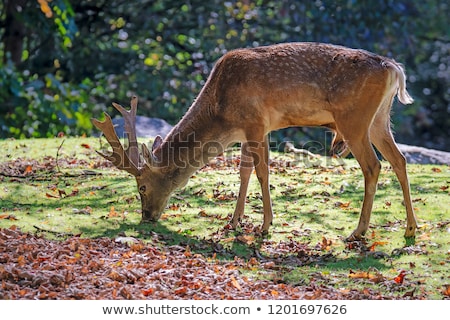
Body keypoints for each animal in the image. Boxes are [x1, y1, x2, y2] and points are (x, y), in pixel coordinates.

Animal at [90, 43, 418, 242]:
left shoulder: (256, 123)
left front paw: (265, 225)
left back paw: (358, 231)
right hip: (379, 119)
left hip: (354, 119)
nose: (147, 217)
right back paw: (410, 228)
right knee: (399, 160)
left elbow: (262, 172)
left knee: (373, 166)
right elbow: (244, 172)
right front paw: (234, 221)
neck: (221, 112)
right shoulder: (248, 130)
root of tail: (394, 69)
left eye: (142, 187)